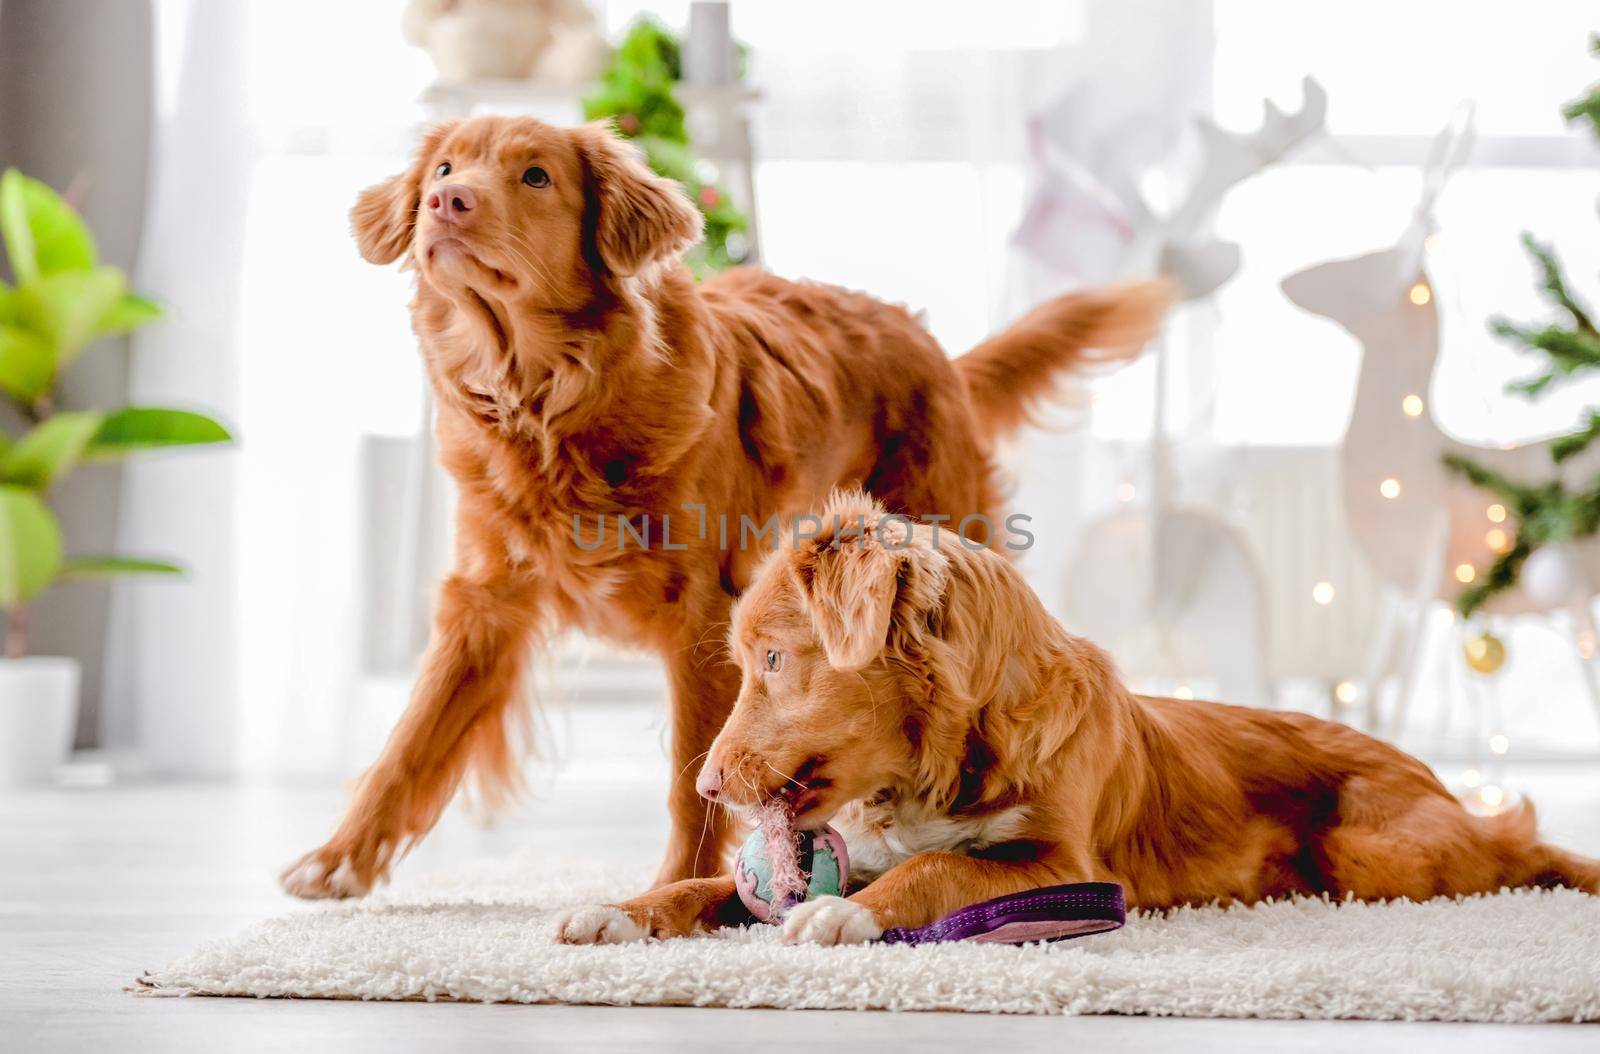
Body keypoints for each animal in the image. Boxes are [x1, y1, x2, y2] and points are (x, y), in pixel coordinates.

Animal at [281, 117, 1171, 902]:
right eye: (444, 167)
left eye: (534, 175)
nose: (447, 201)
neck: (552, 402)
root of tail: (933, 351)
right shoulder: (485, 603)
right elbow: (412, 740)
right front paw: (337, 862)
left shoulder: (702, 619)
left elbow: (691, 778)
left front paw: (675, 884)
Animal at [556, 495, 1593, 946]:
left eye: (773, 661)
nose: (705, 782)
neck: (941, 761)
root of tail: (1428, 773)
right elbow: (699, 889)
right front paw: (620, 909)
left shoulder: (1065, 864)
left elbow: (941, 868)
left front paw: (846, 915)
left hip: (1375, 850)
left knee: (1515, 844)